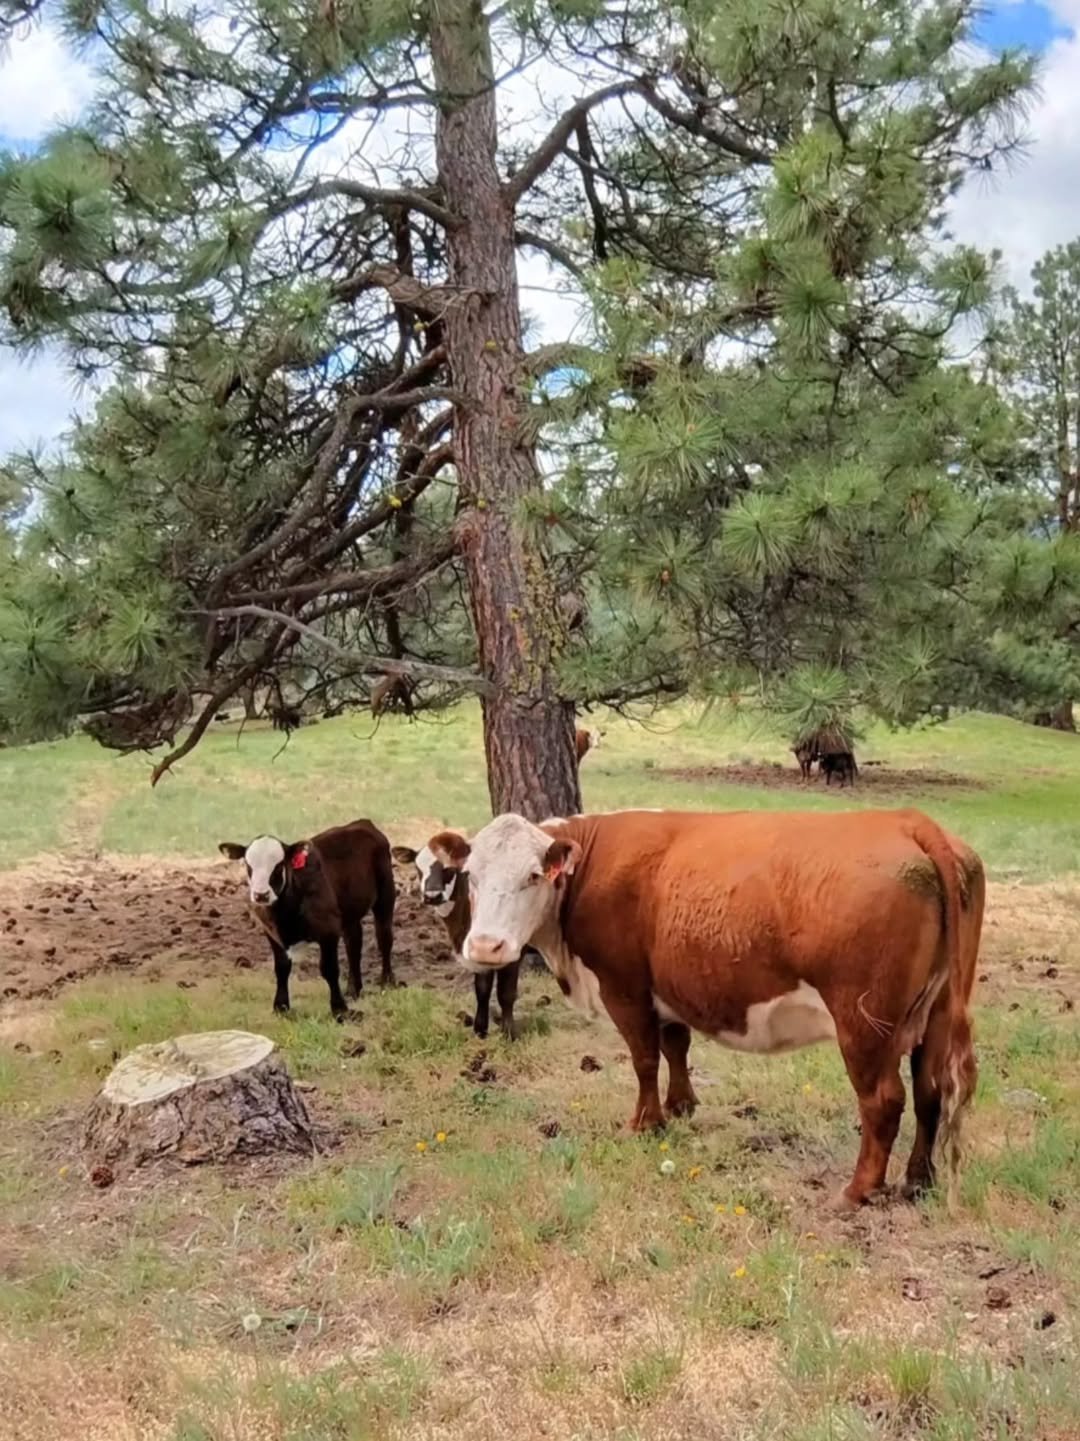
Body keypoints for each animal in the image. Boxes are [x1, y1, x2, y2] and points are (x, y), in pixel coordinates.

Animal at [219, 819, 396, 1018]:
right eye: (248, 866)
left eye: (279, 866)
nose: (261, 895)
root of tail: (364, 823)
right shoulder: (271, 933)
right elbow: (281, 968)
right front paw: (281, 1006)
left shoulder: (328, 930)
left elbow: (329, 969)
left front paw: (339, 1009)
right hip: (349, 913)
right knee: (353, 944)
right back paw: (353, 989)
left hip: (386, 895)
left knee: (384, 937)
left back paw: (387, 982)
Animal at [392, 832, 521, 1040]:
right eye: (418, 868)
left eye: (450, 868)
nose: (432, 896)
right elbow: (482, 988)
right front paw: (480, 1029)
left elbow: (506, 992)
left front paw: (509, 1033)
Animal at [446, 807, 984, 1212]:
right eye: (470, 876)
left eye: (533, 876)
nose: (487, 946)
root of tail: (909, 820)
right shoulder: (666, 988)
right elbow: (675, 1046)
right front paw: (681, 1106)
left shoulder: (624, 987)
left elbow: (644, 1059)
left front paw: (645, 1123)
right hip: (935, 1011)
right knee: (930, 1092)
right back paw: (917, 1181)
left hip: (863, 1021)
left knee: (884, 1100)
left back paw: (857, 1191)